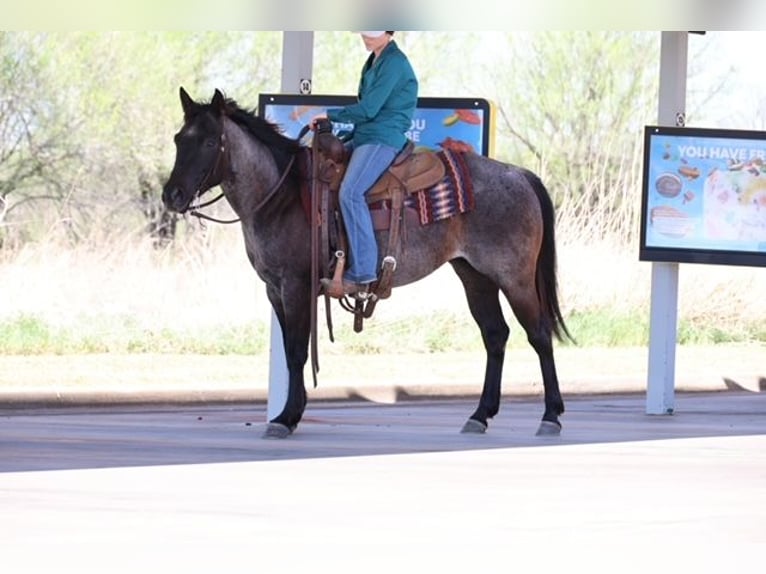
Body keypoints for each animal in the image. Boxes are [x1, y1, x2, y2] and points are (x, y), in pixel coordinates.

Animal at [162, 87, 572, 439]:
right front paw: (292, 412)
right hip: (474, 277)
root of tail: (519, 174)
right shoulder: (274, 290)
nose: (172, 195)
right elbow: (290, 350)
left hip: (515, 278)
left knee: (539, 334)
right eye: (179, 139)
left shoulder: (296, 286)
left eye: (210, 142)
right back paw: (479, 415)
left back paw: (551, 416)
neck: (282, 195)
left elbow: (295, 352)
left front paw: (285, 418)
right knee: (495, 335)